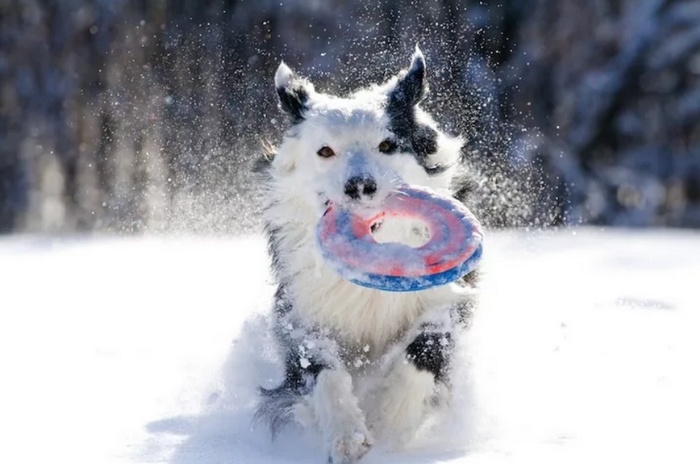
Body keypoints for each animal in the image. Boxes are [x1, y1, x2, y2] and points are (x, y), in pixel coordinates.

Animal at [254, 48, 478, 464]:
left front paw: (388, 418)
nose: (360, 186)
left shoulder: (445, 297)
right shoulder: (302, 315)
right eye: (325, 151)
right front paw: (347, 435)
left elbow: (424, 351)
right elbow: (323, 371)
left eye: (387, 146)